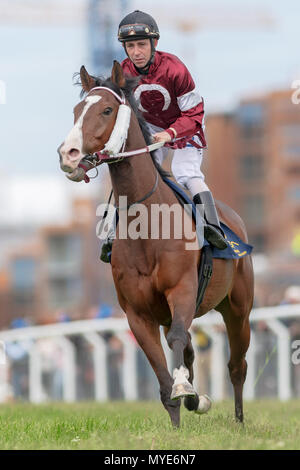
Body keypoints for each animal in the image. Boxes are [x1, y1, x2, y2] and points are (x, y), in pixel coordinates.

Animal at [58, 60, 253, 428]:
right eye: (76, 111)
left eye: (106, 110)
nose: (69, 154)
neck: (147, 228)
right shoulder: (138, 313)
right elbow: (163, 376)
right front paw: (180, 415)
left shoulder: (183, 290)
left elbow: (178, 345)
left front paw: (184, 389)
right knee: (190, 348)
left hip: (238, 309)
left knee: (236, 365)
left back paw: (238, 421)